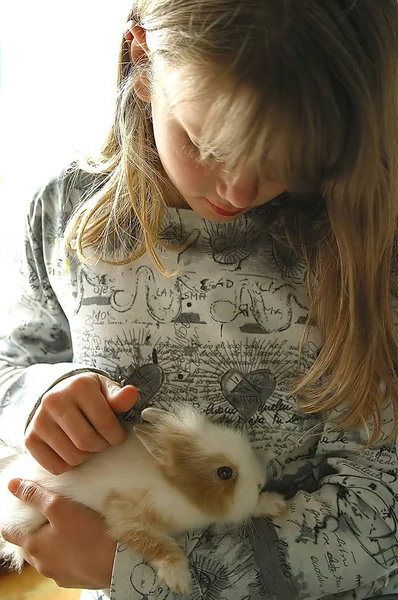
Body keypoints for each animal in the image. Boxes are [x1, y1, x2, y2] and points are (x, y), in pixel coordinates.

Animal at [0, 406, 286, 592]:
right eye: (225, 473)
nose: (260, 482)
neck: (174, 487)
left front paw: (275, 503)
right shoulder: (127, 515)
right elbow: (154, 543)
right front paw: (178, 579)